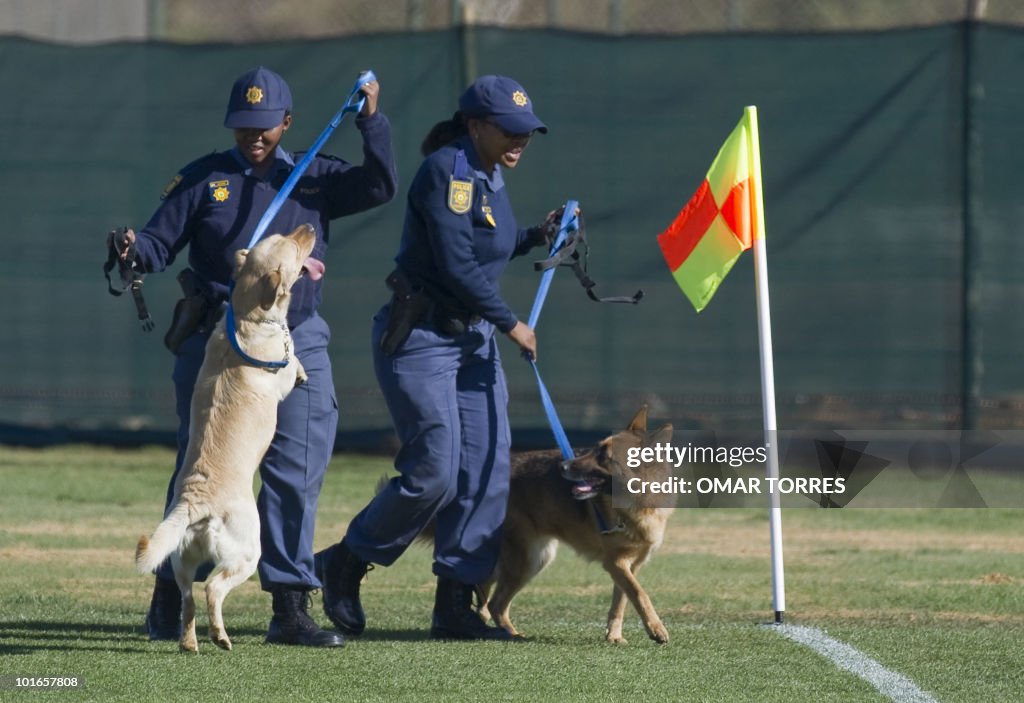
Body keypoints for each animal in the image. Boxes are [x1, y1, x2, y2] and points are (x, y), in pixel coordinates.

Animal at [136, 225, 317, 654]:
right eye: (292, 244)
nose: (309, 228)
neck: (248, 316)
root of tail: (195, 502)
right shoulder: (281, 371)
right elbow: (293, 361)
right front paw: (302, 370)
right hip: (247, 552)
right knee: (213, 589)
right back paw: (220, 637)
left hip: (181, 558)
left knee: (187, 597)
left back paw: (190, 642)